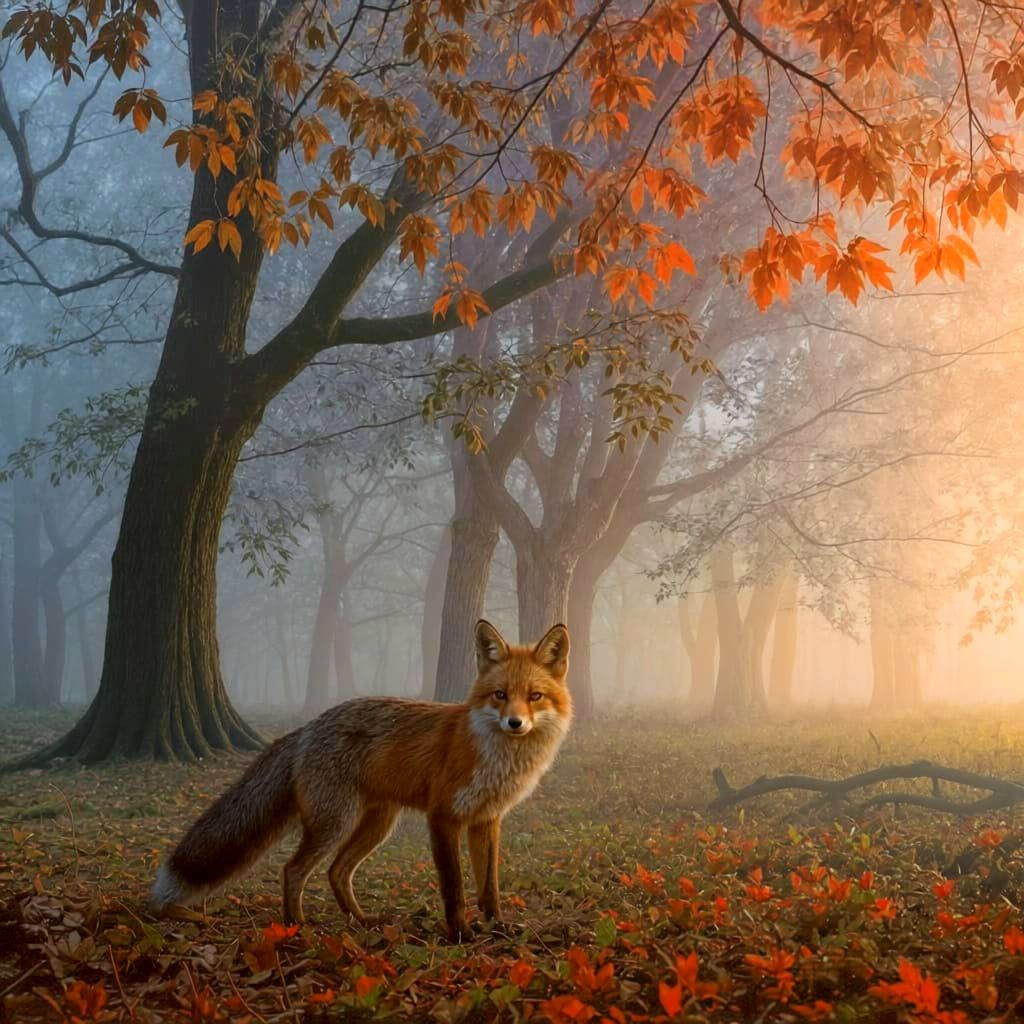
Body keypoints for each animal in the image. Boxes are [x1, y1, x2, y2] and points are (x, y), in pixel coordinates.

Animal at [151, 619, 571, 941]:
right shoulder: (443, 818)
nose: (515, 723)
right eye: (500, 695)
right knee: (294, 870)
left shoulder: (486, 820)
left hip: (377, 823)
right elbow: (454, 887)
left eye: (535, 696)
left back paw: (362, 920)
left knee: (337, 871)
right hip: (335, 822)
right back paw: (295, 927)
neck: (498, 759)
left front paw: (496, 926)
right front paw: (460, 934)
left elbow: (490, 886)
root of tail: (307, 728)